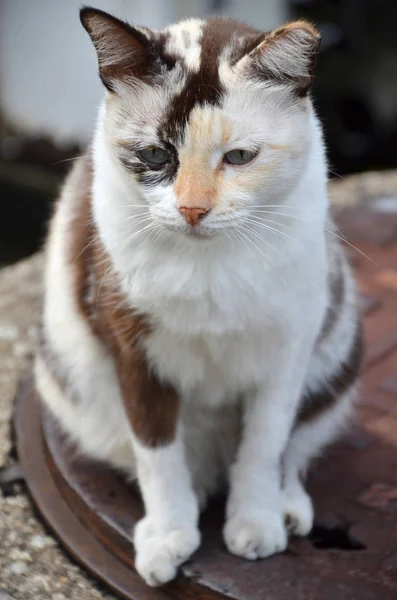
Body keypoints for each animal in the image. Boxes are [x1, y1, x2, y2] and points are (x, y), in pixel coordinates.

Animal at [35, 7, 364, 588]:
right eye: (153, 154)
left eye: (239, 157)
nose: (192, 210)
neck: (208, 268)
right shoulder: (132, 350)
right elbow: (157, 452)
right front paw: (169, 534)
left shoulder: (289, 347)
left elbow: (266, 442)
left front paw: (255, 521)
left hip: (336, 349)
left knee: (296, 442)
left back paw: (287, 506)